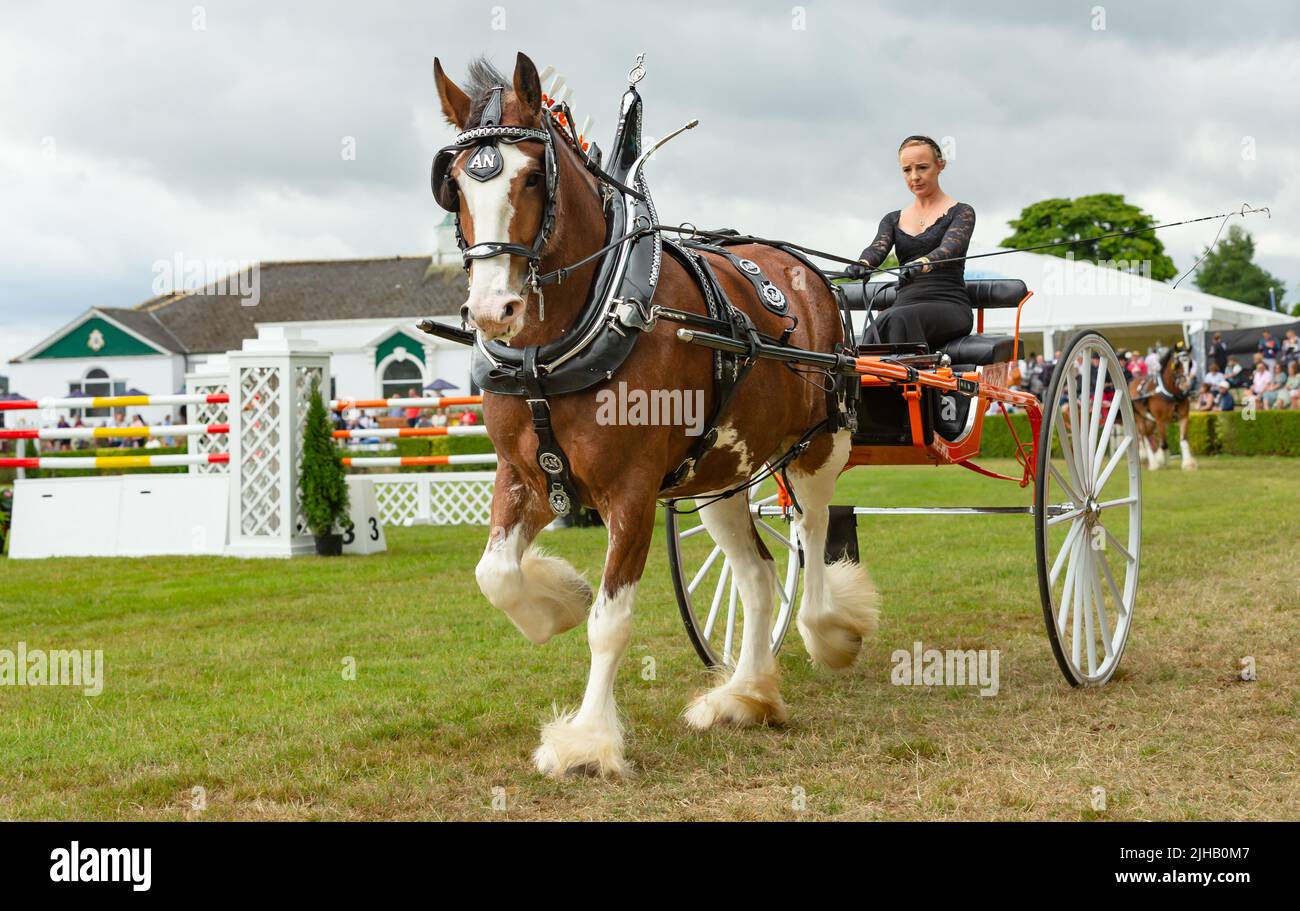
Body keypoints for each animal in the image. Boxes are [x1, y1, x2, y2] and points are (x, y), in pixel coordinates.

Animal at [432, 52, 879, 778]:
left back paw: (827, 630)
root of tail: (810, 273)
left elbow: (609, 622)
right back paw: (745, 695)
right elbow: (495, 576)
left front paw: (587, 739)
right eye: (455, 185)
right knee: (758, 577)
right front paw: (556, 602)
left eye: (532, 176)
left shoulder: (633, 492)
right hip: (720, 475)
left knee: (810, 537)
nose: (495, 310)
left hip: (820, 446)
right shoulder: (525, 477)